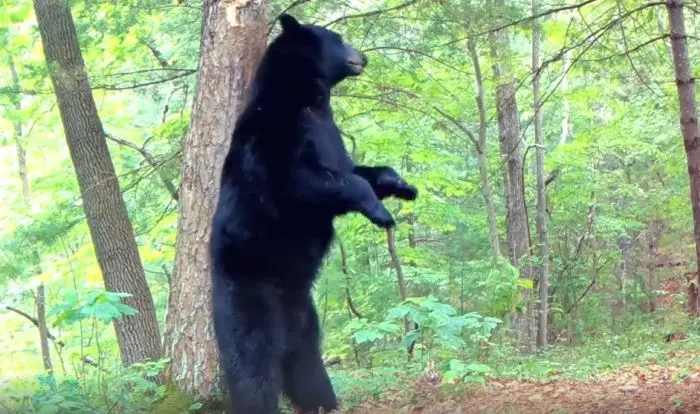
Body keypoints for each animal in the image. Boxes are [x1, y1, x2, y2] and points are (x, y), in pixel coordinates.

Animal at [209, 14, 417, 414]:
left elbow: (356, 170)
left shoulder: (329, 134)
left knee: (305, 361)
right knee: (253, 361)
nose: (363, 56)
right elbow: (308, 181)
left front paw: (402, 186)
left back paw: (324, 402)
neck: (308, 100)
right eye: (338, 38)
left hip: (304, 314)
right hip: (248, 295)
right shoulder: (274, 137)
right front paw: (380, 211)